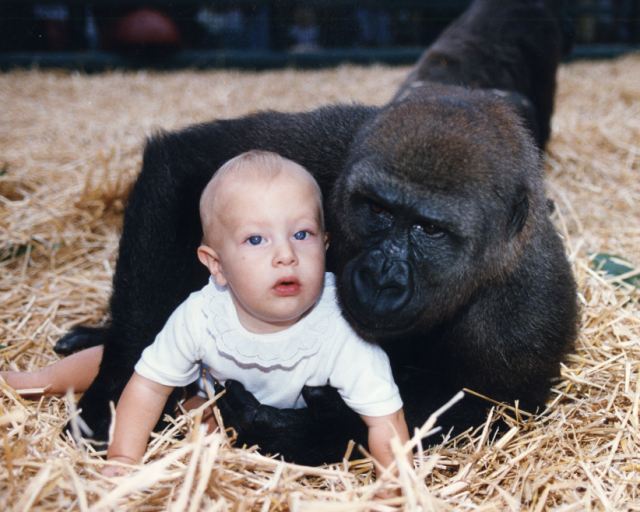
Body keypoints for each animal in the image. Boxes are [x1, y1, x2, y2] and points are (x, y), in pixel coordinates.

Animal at [55, 0, 576, 464]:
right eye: (377, 210)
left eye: (429, 229)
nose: (380, 277)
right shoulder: (340, 145)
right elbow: (188, 166)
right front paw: (112, 394)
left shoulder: (525, 327)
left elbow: (466, 414)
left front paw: (288, 428)